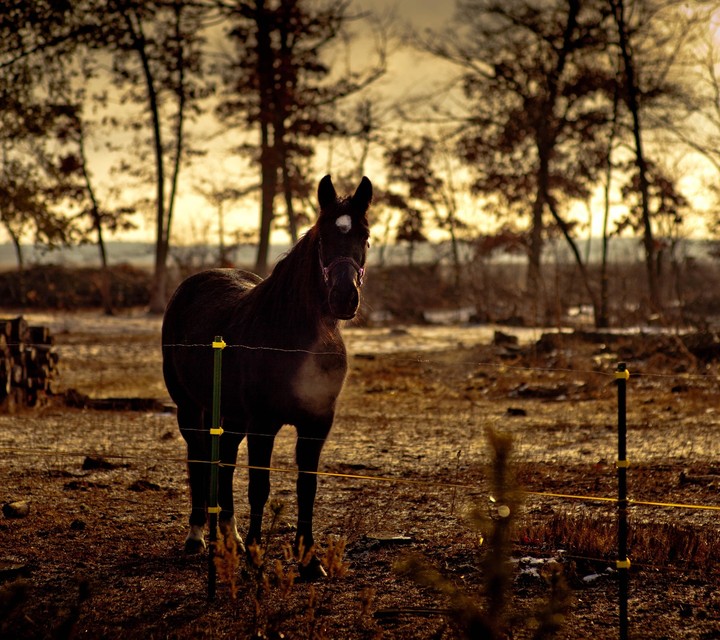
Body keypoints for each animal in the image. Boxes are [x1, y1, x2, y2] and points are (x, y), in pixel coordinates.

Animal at [161, 175, 372, 579]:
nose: (344, 298)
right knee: (199, 458)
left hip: (231, 416)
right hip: (190, 408)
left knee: (225, 461)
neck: (294, 339)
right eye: (323, 237)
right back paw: (197, 537)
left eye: (365, 236)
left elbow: (307, 486)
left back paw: (230, 539)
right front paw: (257, 560)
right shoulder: (263, 423)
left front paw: (309, 561)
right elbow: (259, 485)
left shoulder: (316, 423)